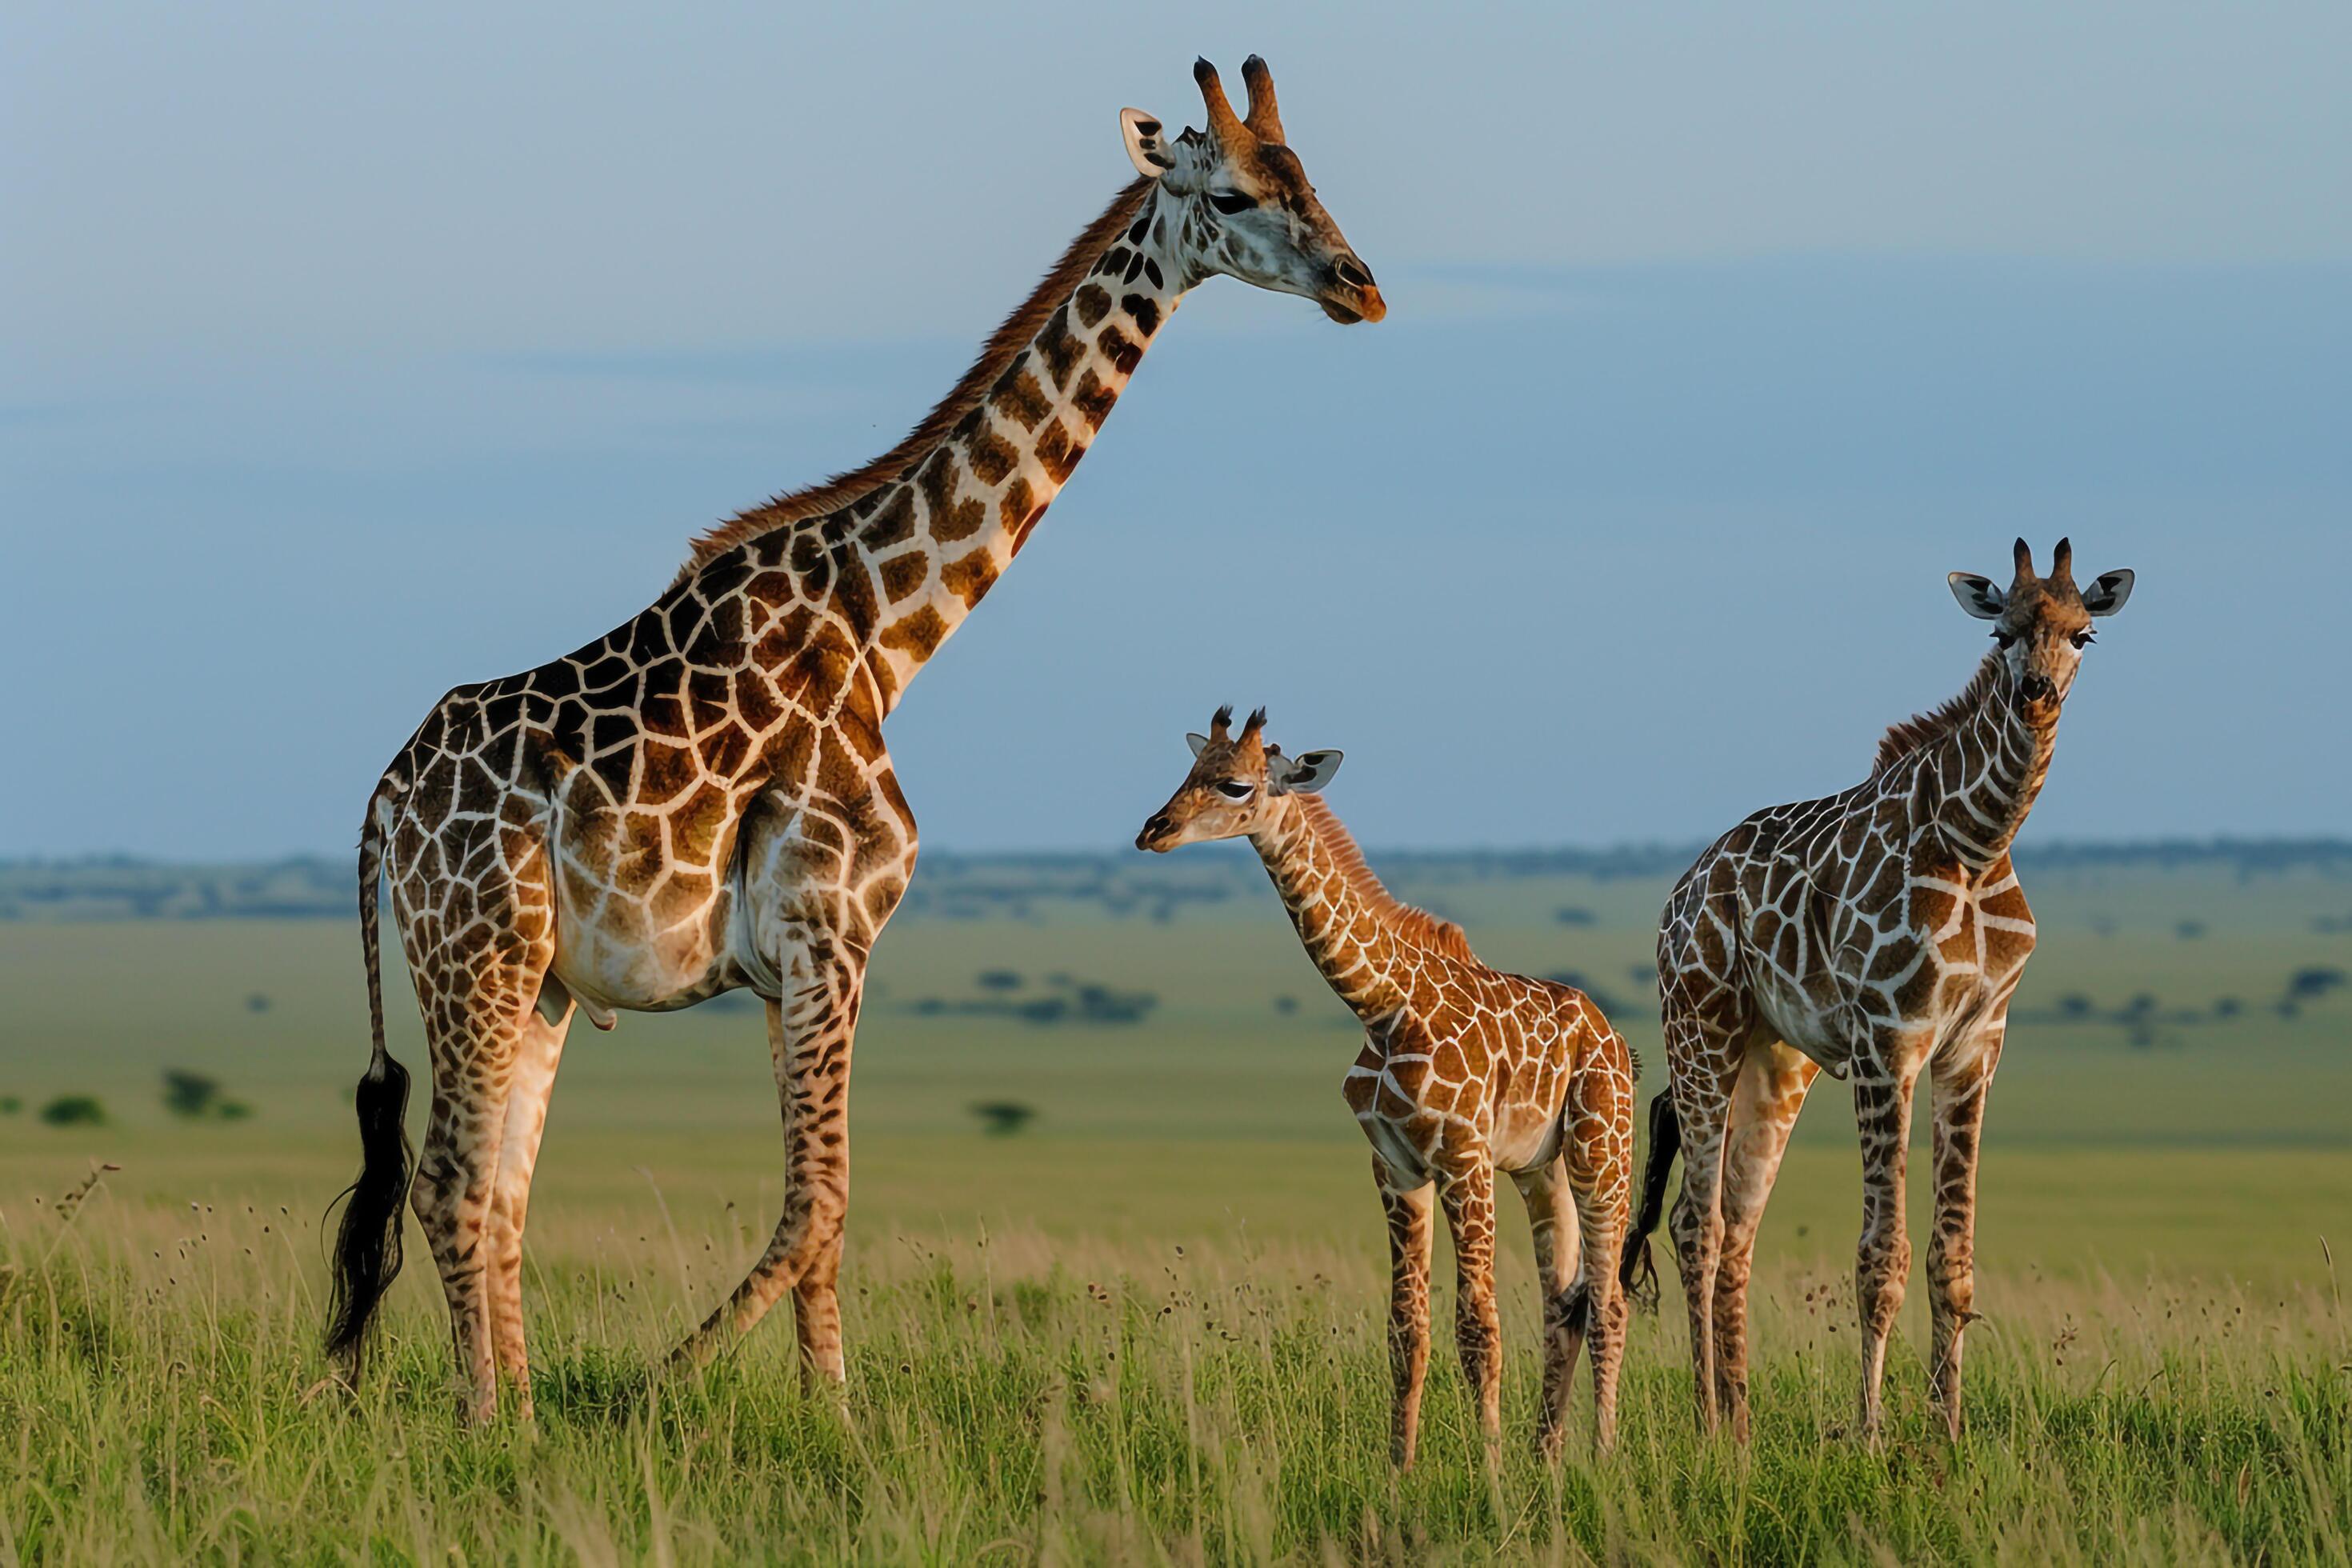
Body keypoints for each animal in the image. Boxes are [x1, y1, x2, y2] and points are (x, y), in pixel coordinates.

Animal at [331, 58, 1392, 1419]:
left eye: (1310, 179)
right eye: (1231, 193)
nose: (1361, 287)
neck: (887, 626)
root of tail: (384, 799)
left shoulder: (803, 956)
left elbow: (820, 1208)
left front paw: (808, 1408)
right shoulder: (829, 932)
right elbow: (818, 1203)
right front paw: (759, 1399)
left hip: (543, 984)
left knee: (500, 1191)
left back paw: (509, 1410)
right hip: (476, 953)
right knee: (453, 1185)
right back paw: (489, 1425)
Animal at [1138, 710, 1637, 1476]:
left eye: (1235, 784)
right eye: (1188, 771)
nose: (1153, 830)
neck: (1381, 1004)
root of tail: (1613, 1036)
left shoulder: (1462, 1158)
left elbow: (1477, 1324)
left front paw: (1488, 1474)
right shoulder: (1395, 1165)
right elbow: (1408, 1328)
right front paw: (1402, 1468)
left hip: (1600, 1152)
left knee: (1610, 1303)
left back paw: (1601, 1455)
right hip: (1538, 1170)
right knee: (1566, 1301)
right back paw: (1545, 1457)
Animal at [1618, 540, 2135, 1448]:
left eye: (2084, 634)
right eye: (2001, 632)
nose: (2035, 695)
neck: (1976, 842)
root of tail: (1684, 889)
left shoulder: (1974, 1045)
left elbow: (1951, 1257)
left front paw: (1947, 1429)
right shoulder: (1886, 1038)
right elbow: (1879, 1255)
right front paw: (1869, 1432)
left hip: (1774, 1059)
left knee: (1739, 1224)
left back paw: (1743, 1425)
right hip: (1700, 1024)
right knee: (1695, 1222)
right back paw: (1709, 1420)